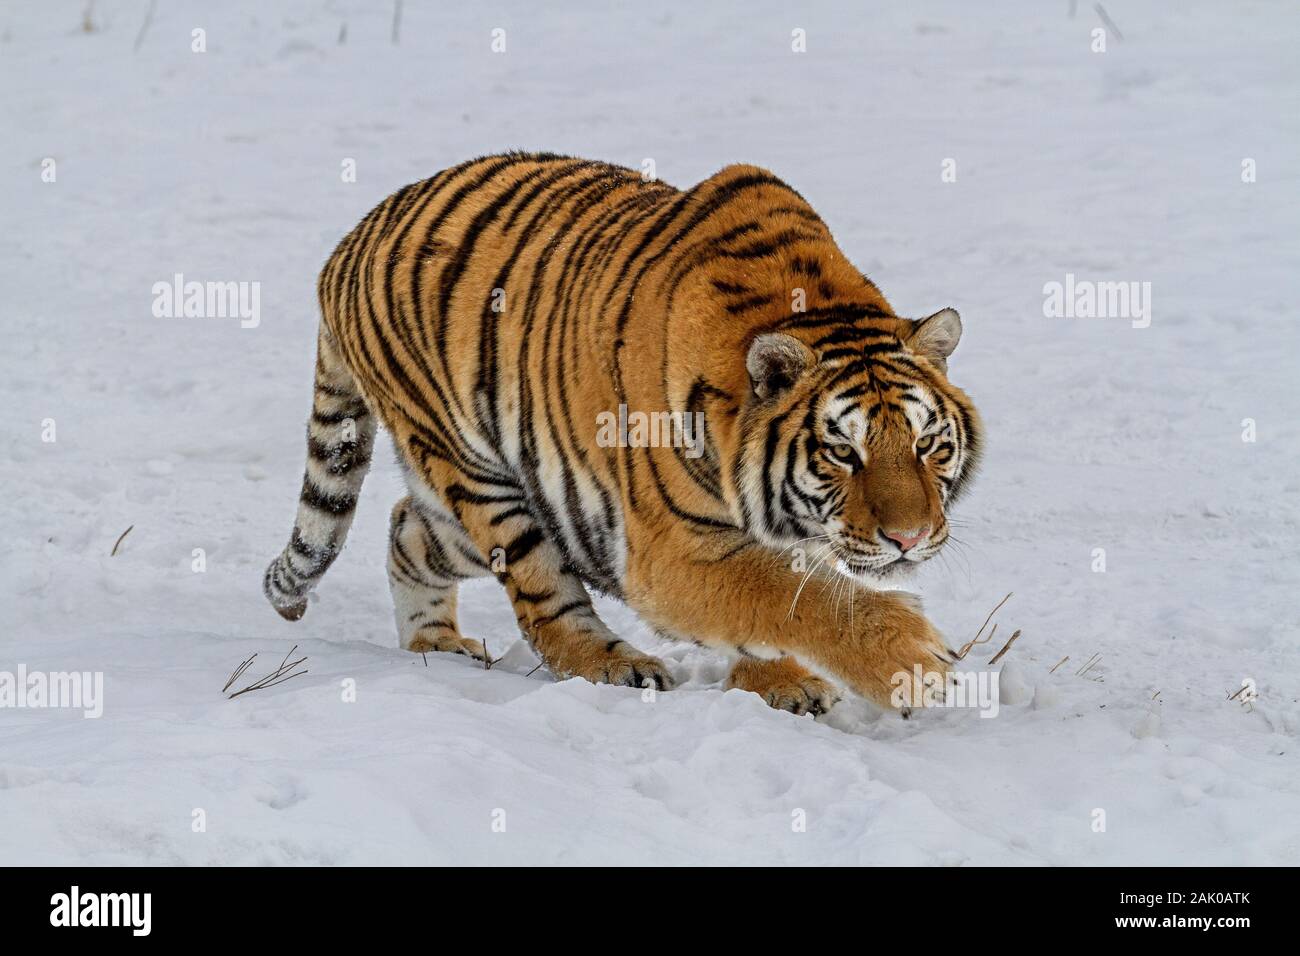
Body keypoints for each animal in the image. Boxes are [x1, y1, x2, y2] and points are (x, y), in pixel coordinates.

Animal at [263, 151, 977, 717]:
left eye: (926, 445)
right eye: (843, 453)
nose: (910, 538)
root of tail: (346, 247)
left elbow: (788, 596)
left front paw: (779, 683)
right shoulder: (673, 552)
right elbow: (793, 597)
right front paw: (911, 662)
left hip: (515, 506)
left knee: (405, 526)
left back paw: (433, 644)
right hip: (488, 485)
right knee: (545, 604)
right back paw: (617, 665)